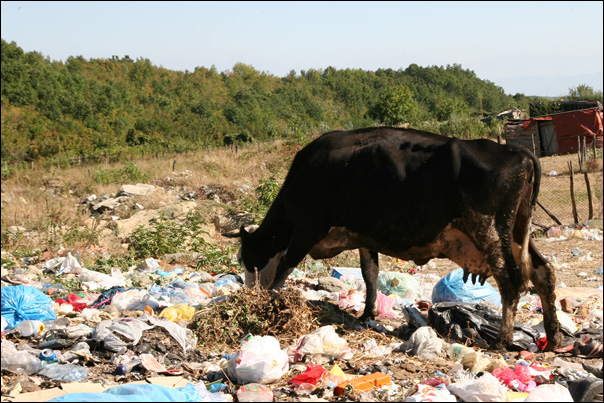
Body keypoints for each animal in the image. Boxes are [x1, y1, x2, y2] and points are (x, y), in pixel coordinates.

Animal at [224, 126, 564, 350]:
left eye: (245, 258)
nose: (250, 293)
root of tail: (517, 151)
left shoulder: (308, 227)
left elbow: (285, 266)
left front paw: (270, 304)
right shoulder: (363, 236)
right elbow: (370, 274)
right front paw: (367, 313)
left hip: (489, 230)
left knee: (510, 281)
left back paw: (503, 341)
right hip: (517, 232)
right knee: (543, 272)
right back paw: (553, 337)